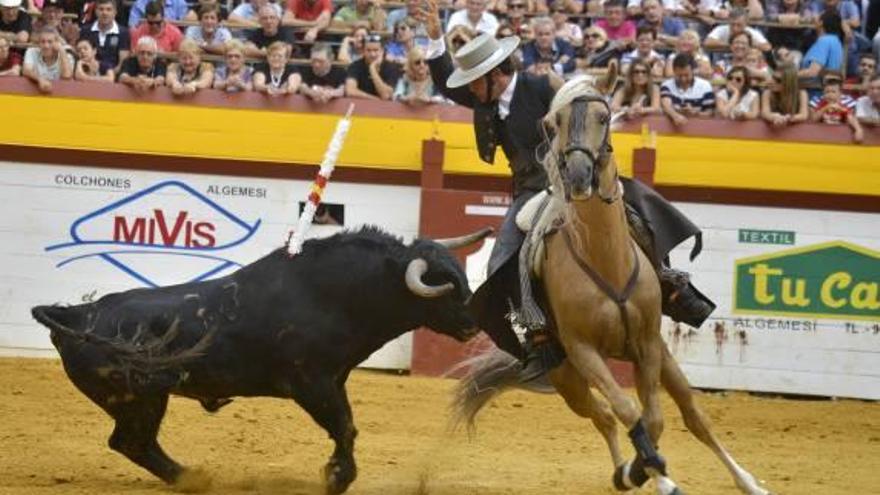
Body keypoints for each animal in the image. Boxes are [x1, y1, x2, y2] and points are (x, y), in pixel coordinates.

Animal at [31, 227, 492, 494]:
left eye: (461, 276)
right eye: (444, 285)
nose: (475, 322)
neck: (339, 293)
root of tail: (77, 315)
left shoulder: (333, 380)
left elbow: (345, 427)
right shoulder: (312, 384)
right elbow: (344, 427)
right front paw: (336, 477)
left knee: (132, 443)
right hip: (139, 399)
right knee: (132, 442)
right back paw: (193, 479)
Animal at [454, 74, 768, 495]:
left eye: (603, 117)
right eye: (554, 122)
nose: (577, 176)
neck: (606, 258)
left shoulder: (647, 345)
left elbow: (654, 418)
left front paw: (654, 471)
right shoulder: (584, 351)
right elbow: (628, 410)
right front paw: (646, 471)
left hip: (661, 356)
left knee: (694, 416)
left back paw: (747, 482)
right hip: (565, 373)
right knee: (602, 414)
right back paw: (625, 471)